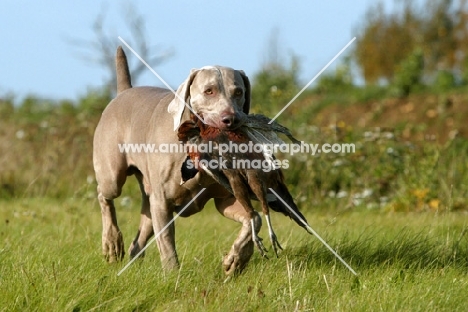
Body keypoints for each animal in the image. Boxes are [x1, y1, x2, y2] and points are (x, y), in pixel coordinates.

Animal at [93, 45, 262, 272]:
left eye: (239, 92)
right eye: (209, 90)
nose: (230, 119)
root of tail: (124, 92)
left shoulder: (225, 198)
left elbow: (255, 218)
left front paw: (236, 259)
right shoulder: (163, 201)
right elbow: (167, 242)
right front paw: (173, 274)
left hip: (148, 199)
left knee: (138, 239)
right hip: (112, 175)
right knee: (105, 195)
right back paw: (111, 243)